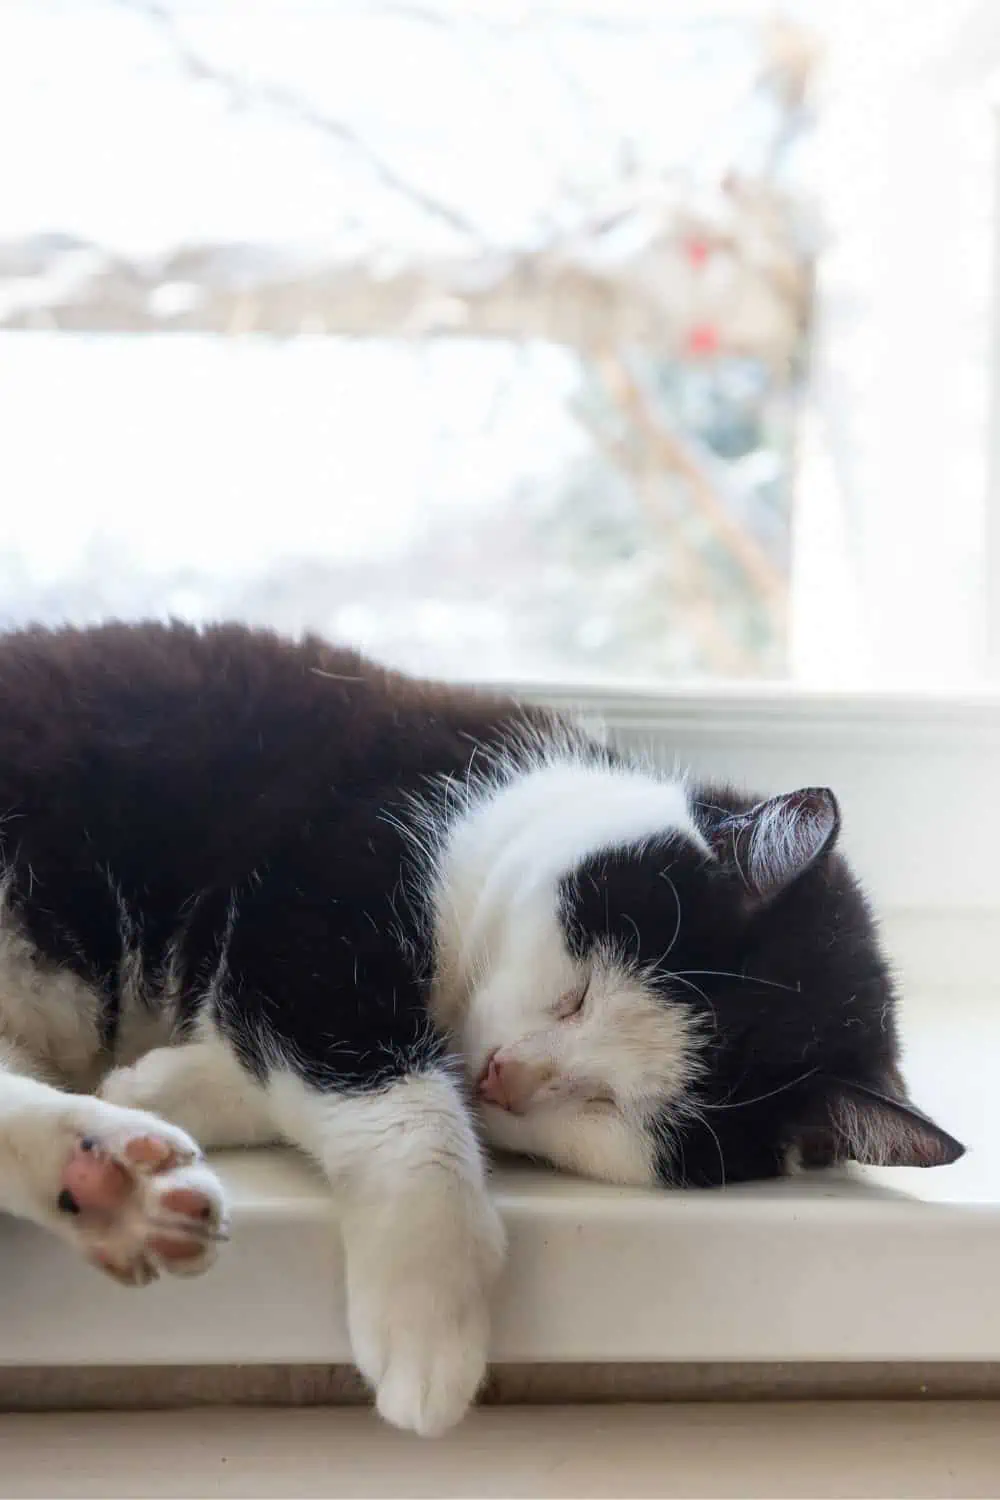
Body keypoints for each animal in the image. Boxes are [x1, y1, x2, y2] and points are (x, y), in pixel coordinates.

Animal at [0, 618, 959, 1428]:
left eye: (617, 1109)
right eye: (580, 991)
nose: (506, 1074)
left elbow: (279, 1050)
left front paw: (165, 1084)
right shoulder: (321, 889)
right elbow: (397, 1094)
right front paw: (428, 1310)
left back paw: (113, 1179)